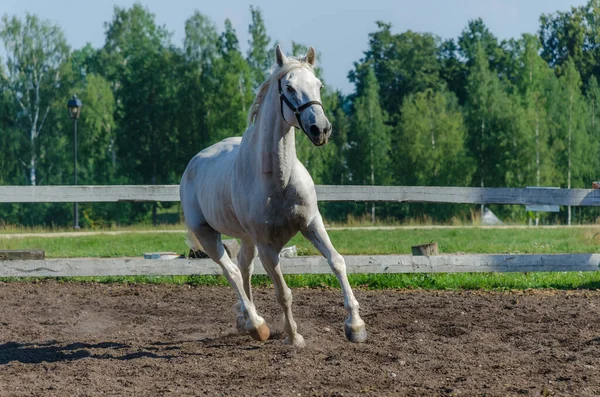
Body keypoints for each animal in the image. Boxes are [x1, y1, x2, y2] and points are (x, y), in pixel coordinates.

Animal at [178, 44, 366, 344]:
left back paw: (245, 320)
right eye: (289, 87)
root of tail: (193, 164)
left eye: (318, 85)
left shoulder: (312, 223)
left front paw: (356, 326)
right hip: (208, 235)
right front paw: (293, 336)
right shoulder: (267, 247)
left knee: (243, 268)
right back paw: (256, 324)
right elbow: (283, 293)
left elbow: (337, 262)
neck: (279, 179)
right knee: (231, 271)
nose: (321, 130)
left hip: (246, 239)